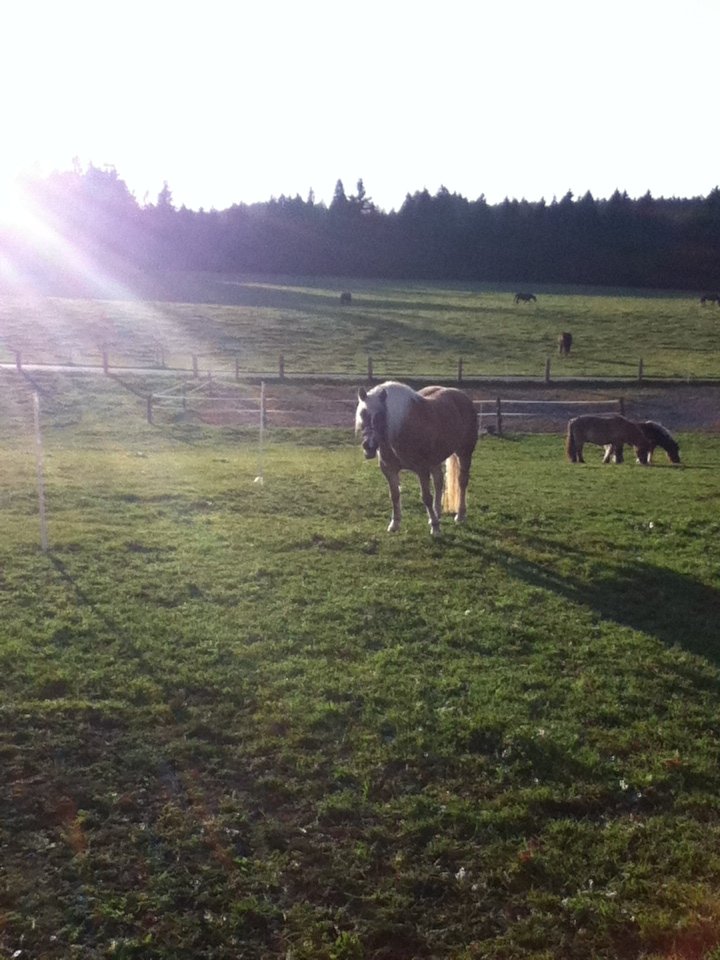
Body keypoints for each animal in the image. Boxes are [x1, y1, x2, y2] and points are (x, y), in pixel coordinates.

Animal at [355, 381, 478, 536]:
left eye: (381, 416)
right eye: (362, 414)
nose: (368, 446)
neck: (401, 429)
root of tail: (462, 396)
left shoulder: (422, 469)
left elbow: (426, 497)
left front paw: (435, 528)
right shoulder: (389, 469)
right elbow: (394, 495)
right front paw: (395, 524)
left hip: (464, 452)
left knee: (462, 482)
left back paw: (460, 515)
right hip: (436, 459)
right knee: (439, 481)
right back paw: (437, 514)